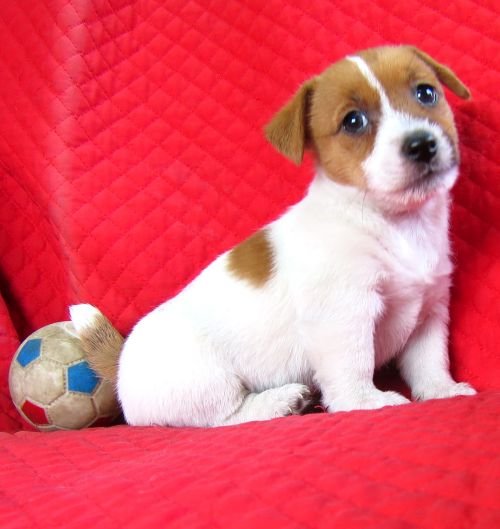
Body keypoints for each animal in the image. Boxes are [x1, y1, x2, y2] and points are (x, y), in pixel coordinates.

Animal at [70, 45, 476, 428]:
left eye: (426, 93)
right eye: (353, 121)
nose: (421, 144)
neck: (395, 223)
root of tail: (119, 364)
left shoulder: (429, 311)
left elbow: (429, 361)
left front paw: (442, 390)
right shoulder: (344, 314)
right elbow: (353, 365)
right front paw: (365, 401)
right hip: (208, 382)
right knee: (225, 417)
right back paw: (278, 402)